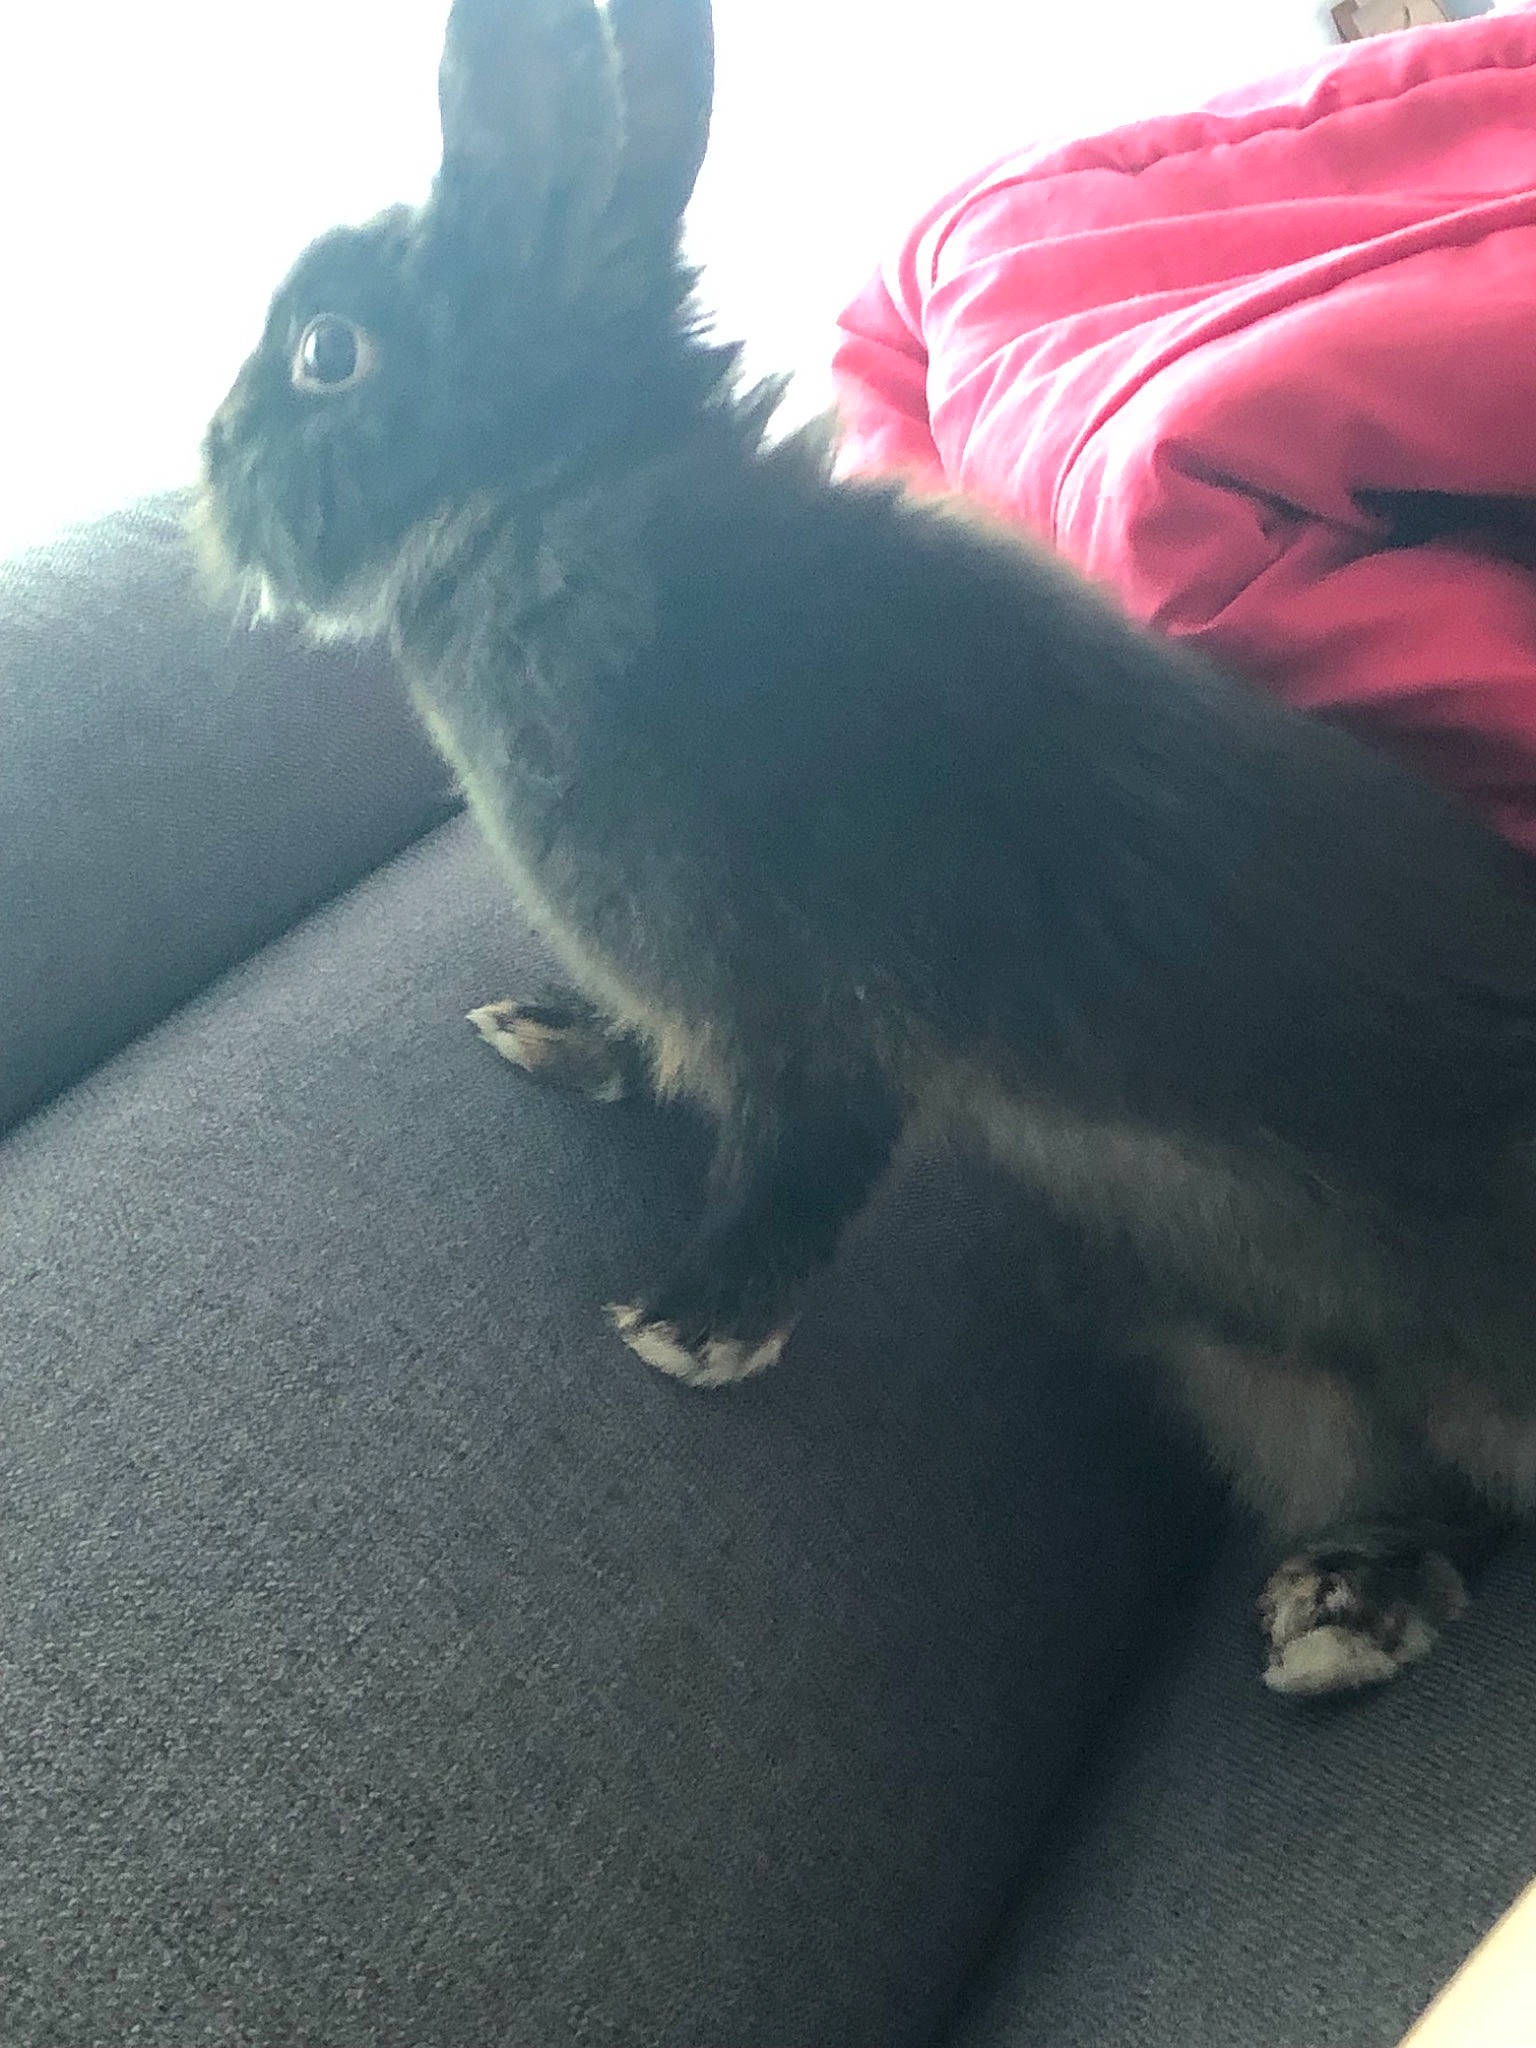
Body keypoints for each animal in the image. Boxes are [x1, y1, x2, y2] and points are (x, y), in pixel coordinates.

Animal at [195, 0, 1536, 1698]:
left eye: (327, 352)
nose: (208, 470)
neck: (544, 503)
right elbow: (653, 1048)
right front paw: (546, 1035)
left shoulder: (806, 991)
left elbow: (802, 1155)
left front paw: (690, 1332)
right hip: (1263, 1375)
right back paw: (1343, 1612)